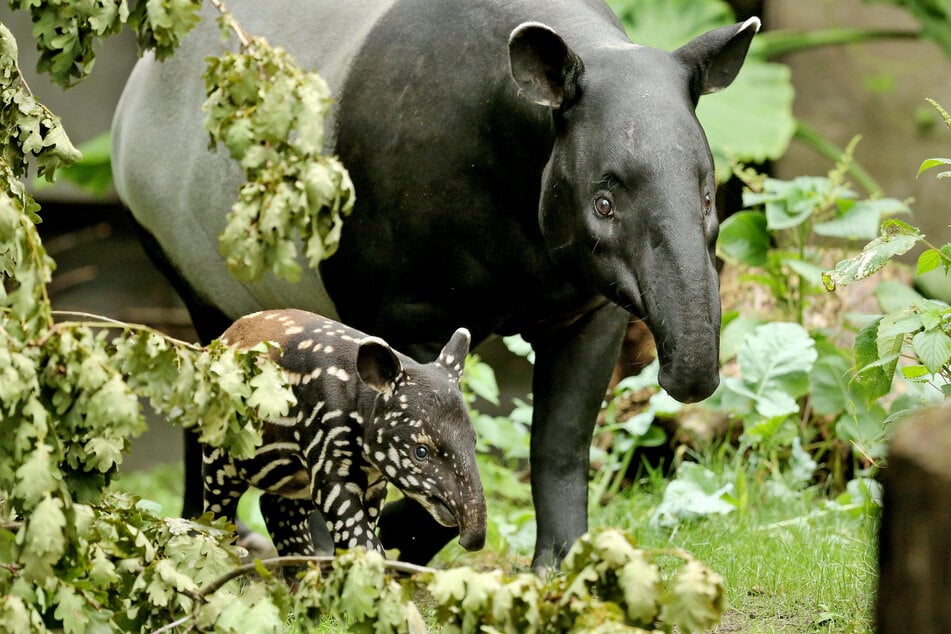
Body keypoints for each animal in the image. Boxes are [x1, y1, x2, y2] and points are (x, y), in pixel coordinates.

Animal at [209, 308, 490, 552]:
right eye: (421, 452)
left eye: (473, 441)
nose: (471, 540)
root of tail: (228, 333)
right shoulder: (329, 459)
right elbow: (365, 544)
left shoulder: (376, 487)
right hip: (222, 452)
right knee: (218, 510)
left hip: (293, 477)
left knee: (276, 508)